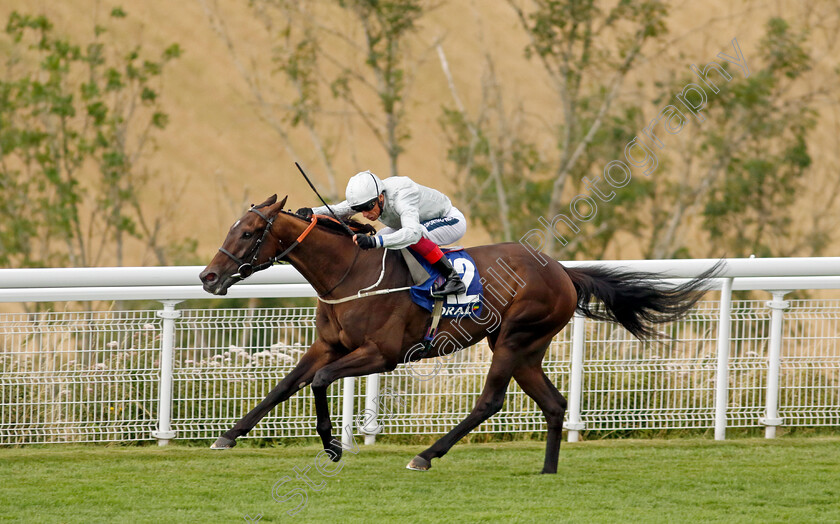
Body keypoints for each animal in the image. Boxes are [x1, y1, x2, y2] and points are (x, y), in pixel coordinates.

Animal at [200, 194, 720, 472]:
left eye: (248, 233)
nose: (208, 277)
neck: (350, 271)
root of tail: (561, 271)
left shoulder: (381, 354)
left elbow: (321, 381)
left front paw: (331, 447)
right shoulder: (329, 344)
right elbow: (286, 384)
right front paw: (228, 436)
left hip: (513, 340)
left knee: (489, 401)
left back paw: (426, 455)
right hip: (526, 349)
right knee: (554, 404)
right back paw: (547, 470)